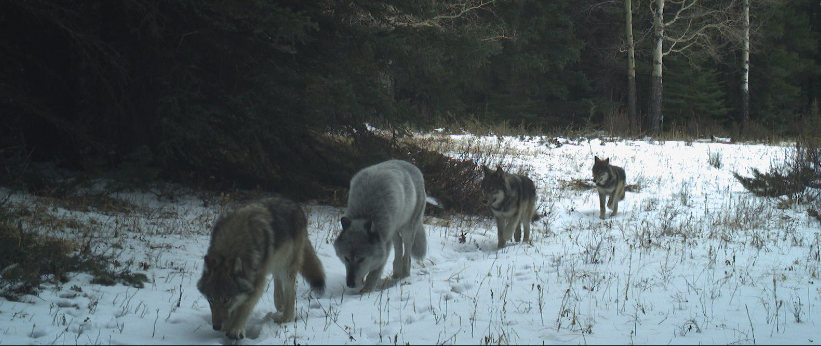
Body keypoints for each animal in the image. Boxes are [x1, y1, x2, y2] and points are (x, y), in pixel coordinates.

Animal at [197, 196, 326, 340]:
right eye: (210, 300)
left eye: (226, 299)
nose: (216, 327)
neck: (230, 246)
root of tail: (294, 203)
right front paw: (230, 325)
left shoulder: (257, 282)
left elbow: (244, 307)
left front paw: (236, 329)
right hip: (275, 261)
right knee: (277, 278)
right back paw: (279, 303)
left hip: (287, 266)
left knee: (290, 290)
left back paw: (286, 317)